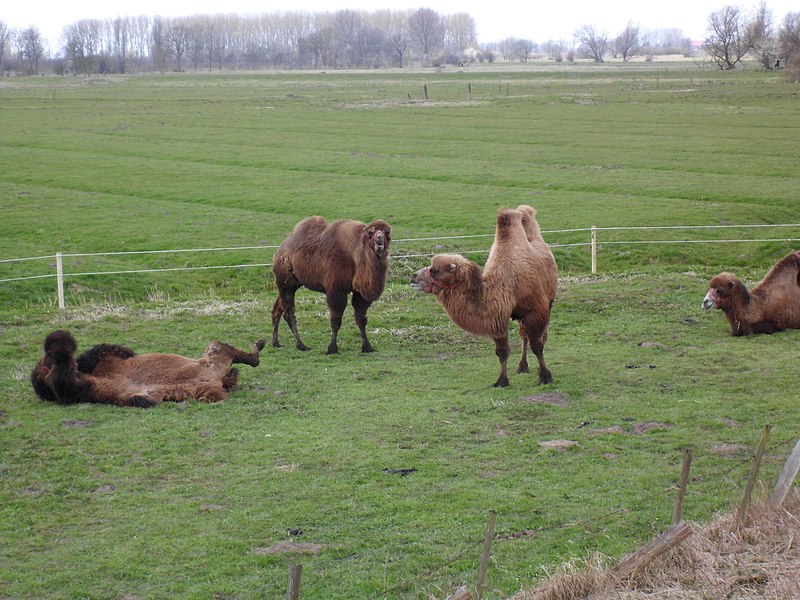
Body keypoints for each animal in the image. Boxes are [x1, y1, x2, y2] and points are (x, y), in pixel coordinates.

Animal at [412, 204, 556, 386]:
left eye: (434, 270)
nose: (413, 276)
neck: (507, 285)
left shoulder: (536, 311)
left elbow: (537, 346)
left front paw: (545, 376)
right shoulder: (497, 317)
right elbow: (502, 351)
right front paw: (502, 381)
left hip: (549, 300)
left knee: (538, 337)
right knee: (524, 336)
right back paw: (522, 366)